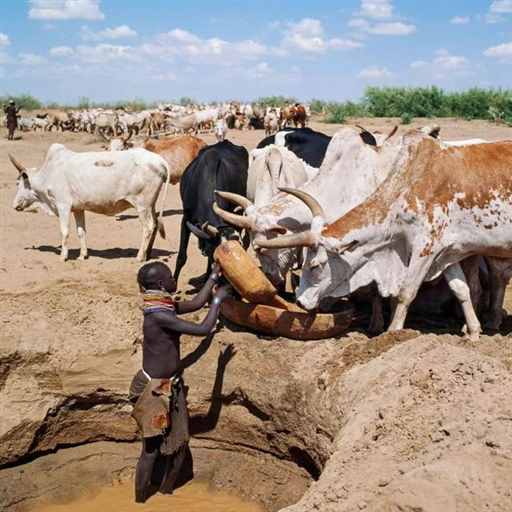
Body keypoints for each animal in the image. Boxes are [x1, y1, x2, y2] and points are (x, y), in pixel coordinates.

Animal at [10, 145, 170, 262]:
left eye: (18, 183)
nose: (14, 205)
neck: (49, 173)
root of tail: (160, 161)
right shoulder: (78, 209)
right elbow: (81, 232)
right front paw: (82, 255)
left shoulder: (63, 206)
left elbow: (64, 231)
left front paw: (63, 256)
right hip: (151, 205)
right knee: (155, 224)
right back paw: (148, 254)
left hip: (142, 205)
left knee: (148, 227)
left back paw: (139, 257)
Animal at [258, 132, 512, 340]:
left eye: (316, 265)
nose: (300, 301)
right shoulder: (445, 253)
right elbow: (461, 289)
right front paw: (473, 332)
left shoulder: (425, 247)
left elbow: (405, 293)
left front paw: (392, 335)